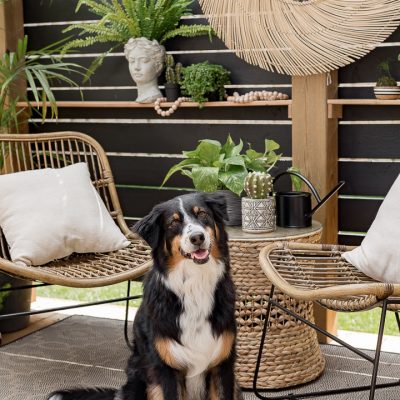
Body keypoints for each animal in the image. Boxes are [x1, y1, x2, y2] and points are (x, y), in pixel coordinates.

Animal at [50, 192, 244, 398]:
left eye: (203, 214)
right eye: (173, 223)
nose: (197, 237)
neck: (194, 284)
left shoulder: (222, 365)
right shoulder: (167, 369)